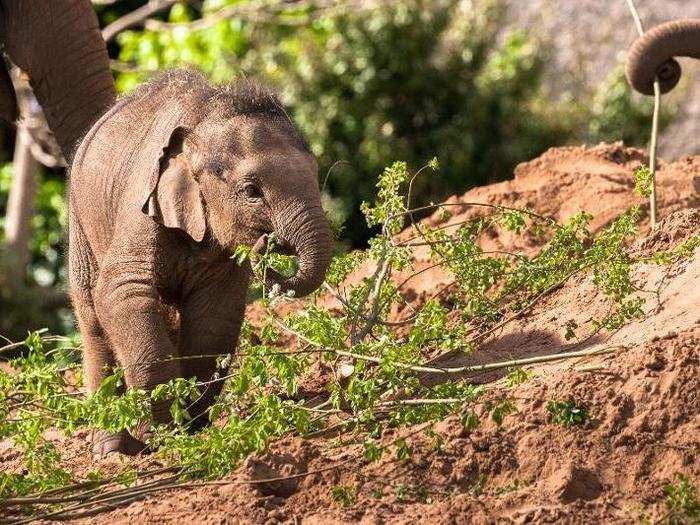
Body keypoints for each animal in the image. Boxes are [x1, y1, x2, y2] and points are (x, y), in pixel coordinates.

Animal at [69, 69, 332, 454]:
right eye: (252, 191)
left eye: (315, 173)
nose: (267, 242)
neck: (204, 119)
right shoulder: (141, 207)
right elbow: (122, 294)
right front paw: (161, 431)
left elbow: (214, 316)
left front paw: (189, 424)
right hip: (80, 226)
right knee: (93, 320)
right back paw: (111, 451)